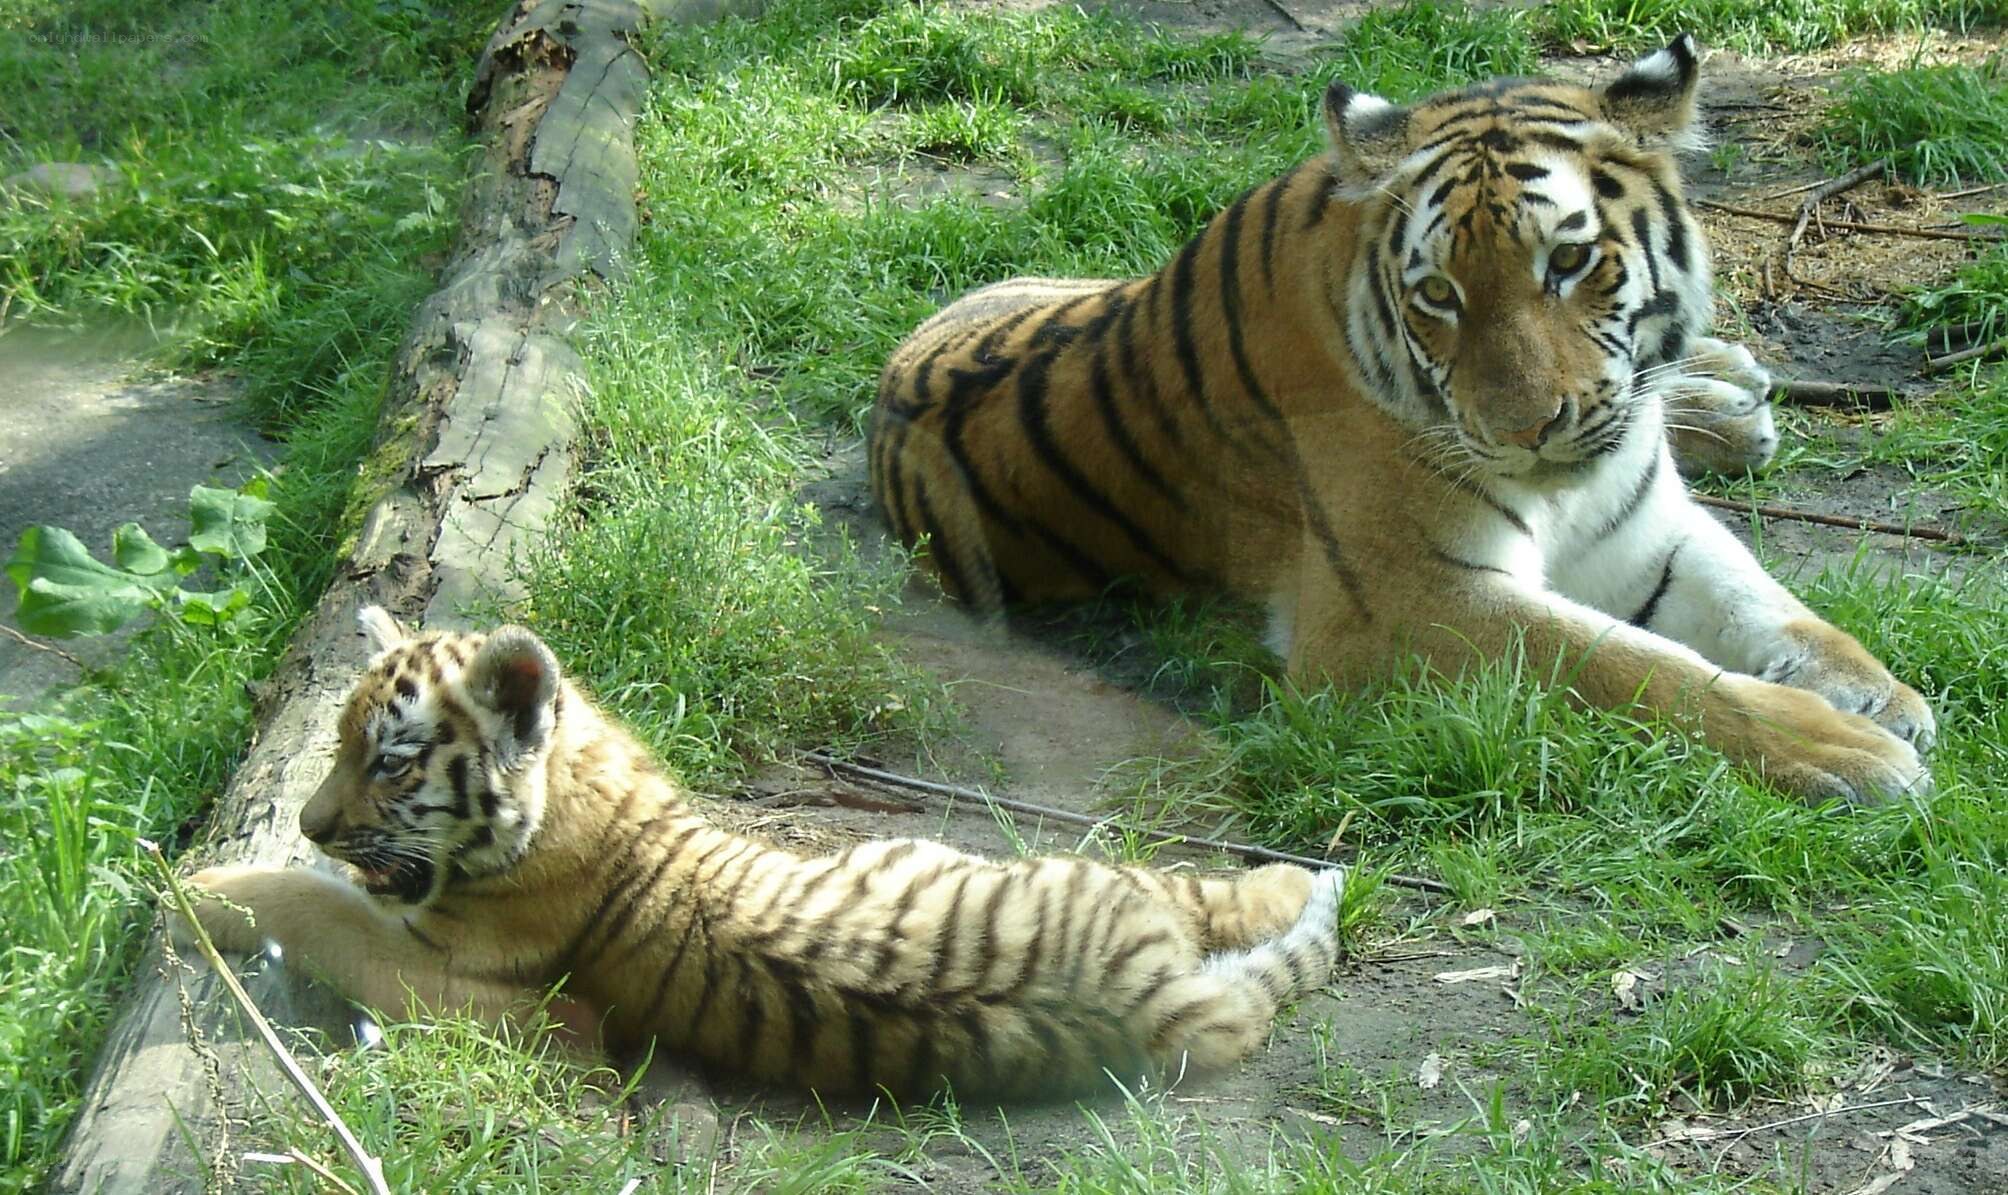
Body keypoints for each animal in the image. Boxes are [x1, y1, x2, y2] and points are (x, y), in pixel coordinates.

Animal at [178, 606, 1343, 1101]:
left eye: (387, 760)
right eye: (335, 744)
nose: (314, 822)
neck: (579, 789)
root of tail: (1159, 1004)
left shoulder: (460, 973)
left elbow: (324, 907)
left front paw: (197, 886)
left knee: (1204, 894)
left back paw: (1310, 877)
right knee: (1208, 900)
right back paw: (1305, 877)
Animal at [867, 36, 1934, 805]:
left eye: (1569, 262)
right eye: (1438, 294)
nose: (1522, 429)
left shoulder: (1645, 530)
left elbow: (1761, 598)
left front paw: (1875, 689)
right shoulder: (1403, 605)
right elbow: (1630, 665)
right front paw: (1845, 745)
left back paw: (1725, 391)